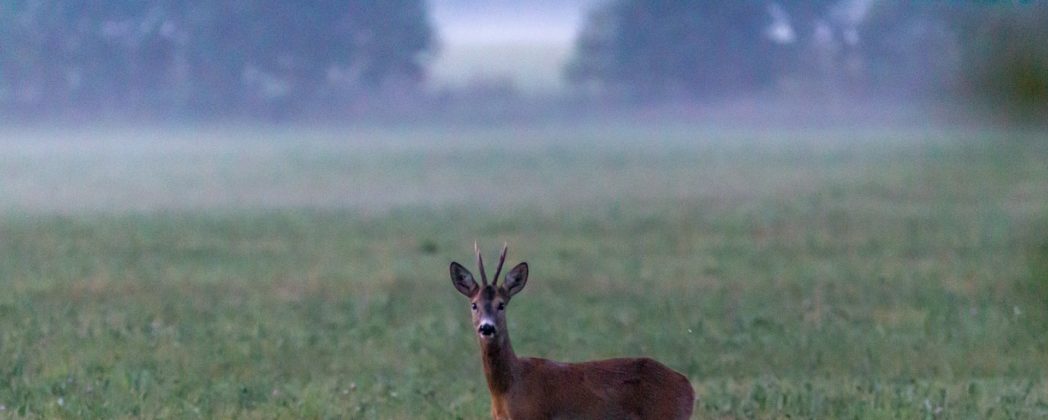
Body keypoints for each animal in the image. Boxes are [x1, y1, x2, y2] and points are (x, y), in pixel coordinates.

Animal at [449, 243, 695, 420]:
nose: (487, 327)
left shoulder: (534, 416)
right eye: (474, 305)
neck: (507, 388)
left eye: (501, 304)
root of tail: (689, 388)